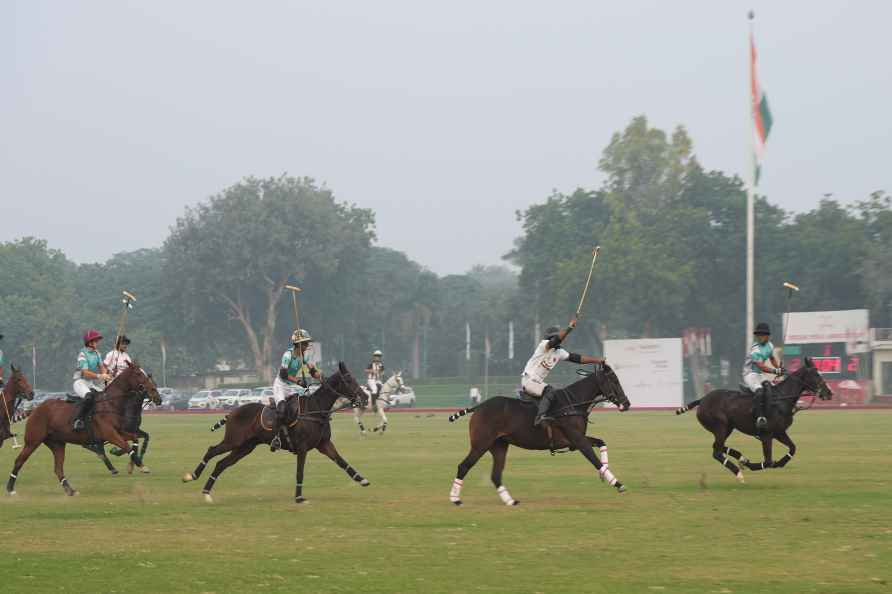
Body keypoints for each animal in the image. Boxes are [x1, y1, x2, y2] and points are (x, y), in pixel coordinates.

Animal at [5, 360, 162, 494]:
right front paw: (142, 466)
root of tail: (35, 409)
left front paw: (125, 458)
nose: (158, 397)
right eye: (138, 374)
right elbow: (127, 446)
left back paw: (70, 490)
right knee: (19, 461)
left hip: (57, 444)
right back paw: (10, 488)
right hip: (33, 441)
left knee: (58, 468)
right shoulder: (110, 434)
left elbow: (134, 439)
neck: (110, 404)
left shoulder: (119, 431)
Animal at [183, 358, 372, 502]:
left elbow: (341, 461)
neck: (316, 409)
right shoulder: (302, 447)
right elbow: (300, 472)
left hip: (245, 447)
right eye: (349, 380)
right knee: (211, 450)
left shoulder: (324, 444)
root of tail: (232, 412)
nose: (365, 397)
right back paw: (191, 476)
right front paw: (299, 497)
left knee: (221, 464)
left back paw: (207, 493)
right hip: (234, 440)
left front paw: (362, 479)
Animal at [444, 364, 628, 506]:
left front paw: (605, 474)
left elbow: (602, 442)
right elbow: (595, 461)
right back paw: (455, 499)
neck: (573, 403)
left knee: (496, 475)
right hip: (481, 443)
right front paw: (617, 483)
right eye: (614, 381)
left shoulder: (573, 443)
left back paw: (510, 501)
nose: (626, 404)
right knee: (464, 466)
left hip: (499, 446)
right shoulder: (578, 440)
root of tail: (479, 406)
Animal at [676, 356, 836, 480]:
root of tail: (702, 399)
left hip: (727, 428)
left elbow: (793, 448)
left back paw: (741, 457)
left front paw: (781, 462)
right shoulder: (767, 435)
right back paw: (738, 472)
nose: (829, 393)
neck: (781, 400)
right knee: (716, 451)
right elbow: (768, 461)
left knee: (718, 446)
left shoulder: (779, 433)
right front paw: (754, 465)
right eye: (816, 375)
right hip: (720, 426)